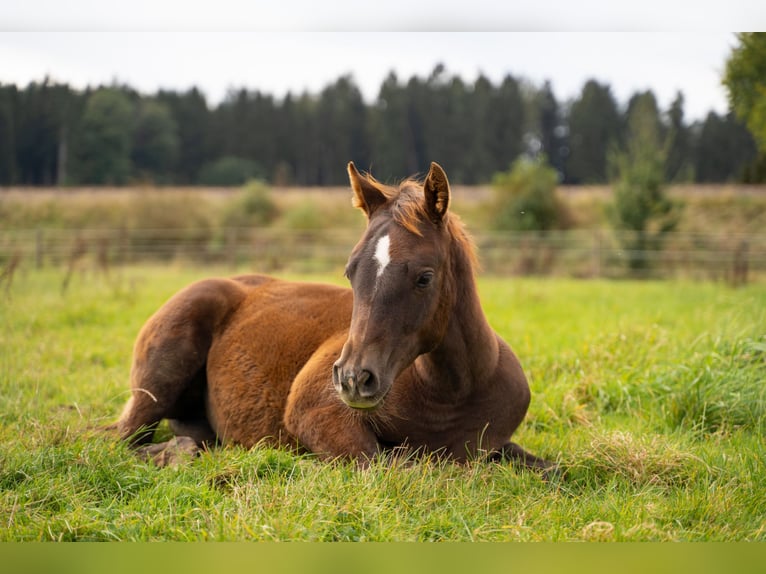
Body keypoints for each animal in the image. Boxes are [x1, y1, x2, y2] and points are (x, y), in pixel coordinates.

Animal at [115, 161, 552, 472]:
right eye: (350, 271)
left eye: (424, 277)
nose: (354, 379)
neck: (451, 395)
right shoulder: (316, 413)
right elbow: (391, 464)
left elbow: (549, 469)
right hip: (157, 385)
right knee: (122, 442)